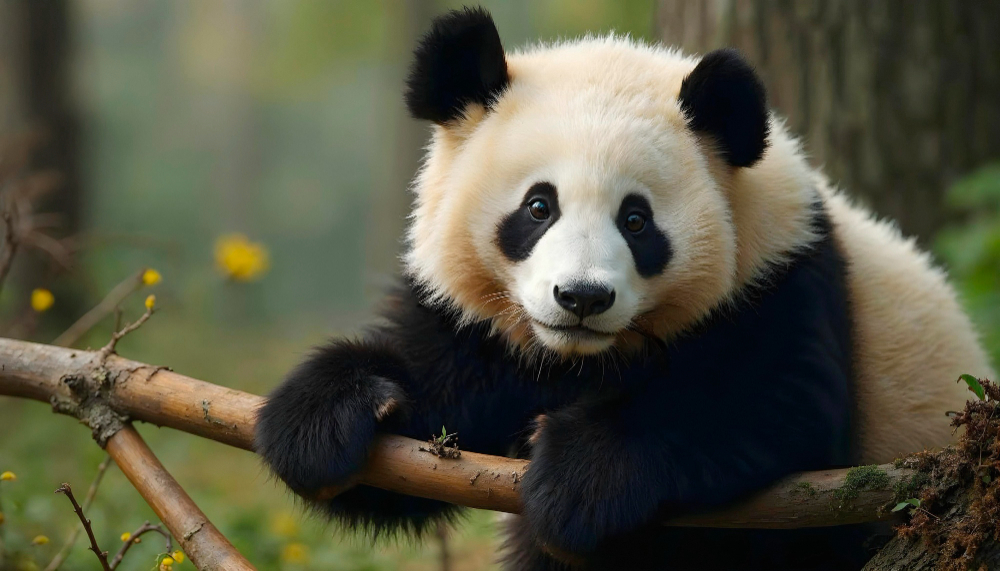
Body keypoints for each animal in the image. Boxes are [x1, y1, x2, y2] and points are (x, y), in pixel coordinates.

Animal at [255, 7, 994, 570]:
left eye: (636, 220)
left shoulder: (781, 280)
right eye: (538, 206)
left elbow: (771, 403)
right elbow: (428, 409)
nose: (581, 298)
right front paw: (326, 417)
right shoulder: (480, 330)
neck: (579, 359)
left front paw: (576, 481)